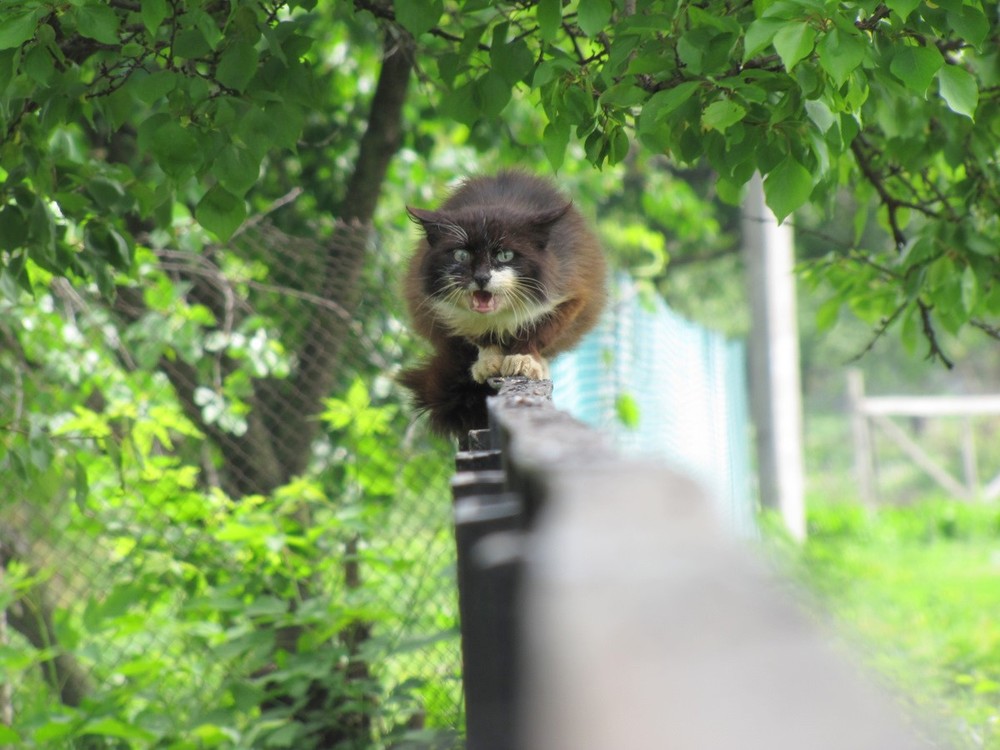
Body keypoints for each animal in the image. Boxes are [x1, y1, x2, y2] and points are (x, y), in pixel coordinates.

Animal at [400, 171, 604, 438]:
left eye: (505, 255)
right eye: (461, 255)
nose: (481, 277)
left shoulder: (572, 288)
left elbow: (542, 330)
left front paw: (524, 359)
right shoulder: (438, 307)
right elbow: (476, 335)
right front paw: (488, 361)